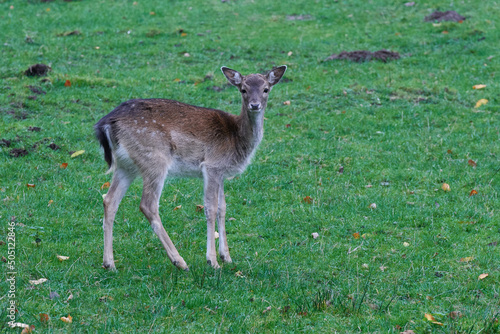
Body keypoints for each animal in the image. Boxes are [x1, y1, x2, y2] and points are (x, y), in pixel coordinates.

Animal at [95, 66, 288, 272]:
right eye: (243, 89)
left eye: (266, 89)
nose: (254, 105)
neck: (236, 138)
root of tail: (106, 123)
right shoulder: (211, 166)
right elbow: (210, 208)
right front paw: (212, 261)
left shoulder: (221, 172)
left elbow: (223, 208)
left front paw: (227, 257)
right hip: (155, 159)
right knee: (148, 204)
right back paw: (179, 261)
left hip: (126, 165)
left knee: (109, 200)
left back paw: (109, 263)